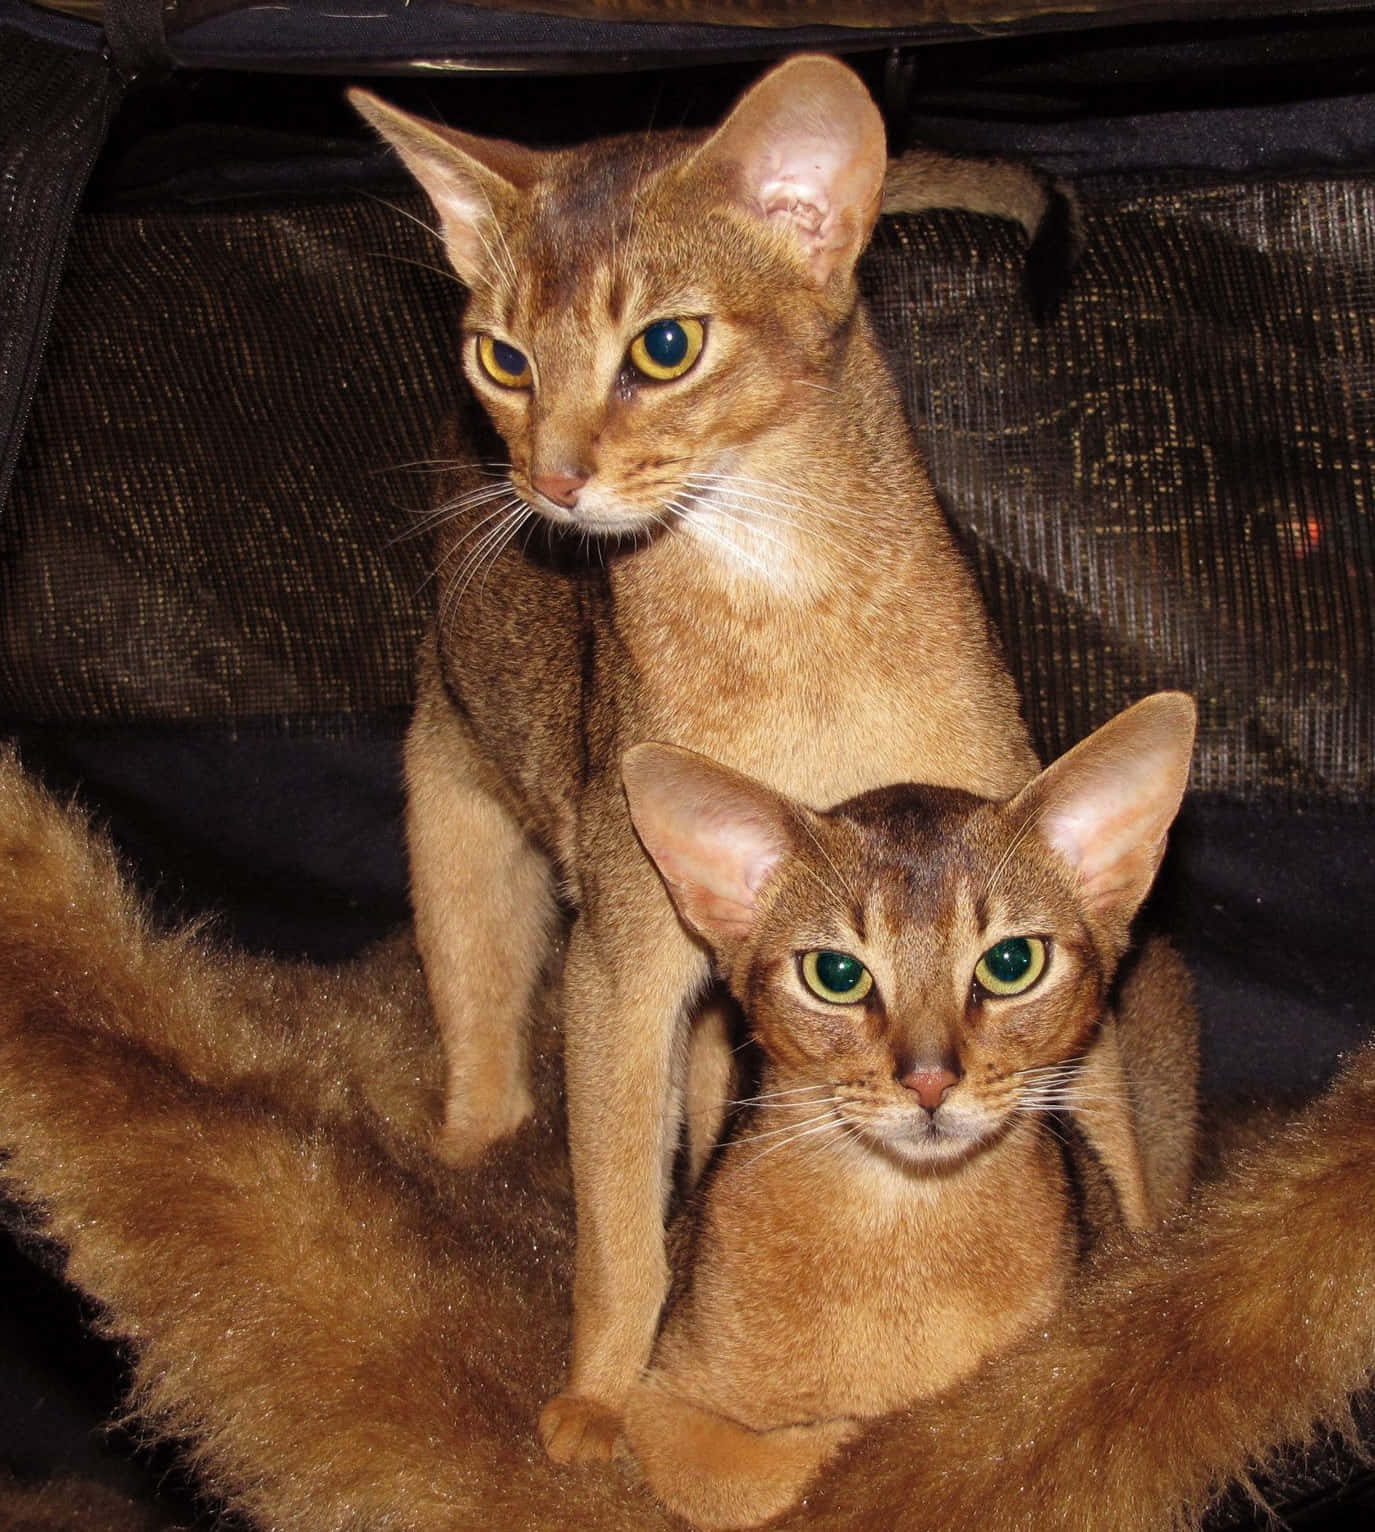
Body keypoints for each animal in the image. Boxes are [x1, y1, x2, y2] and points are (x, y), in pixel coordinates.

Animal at [615, 695, 1194, 1532]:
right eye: (835, 974)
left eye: (1012, 963)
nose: (928, 1080)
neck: (898, 1230)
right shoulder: (658, 1400)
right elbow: (760, 1473)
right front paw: (853, 1430)